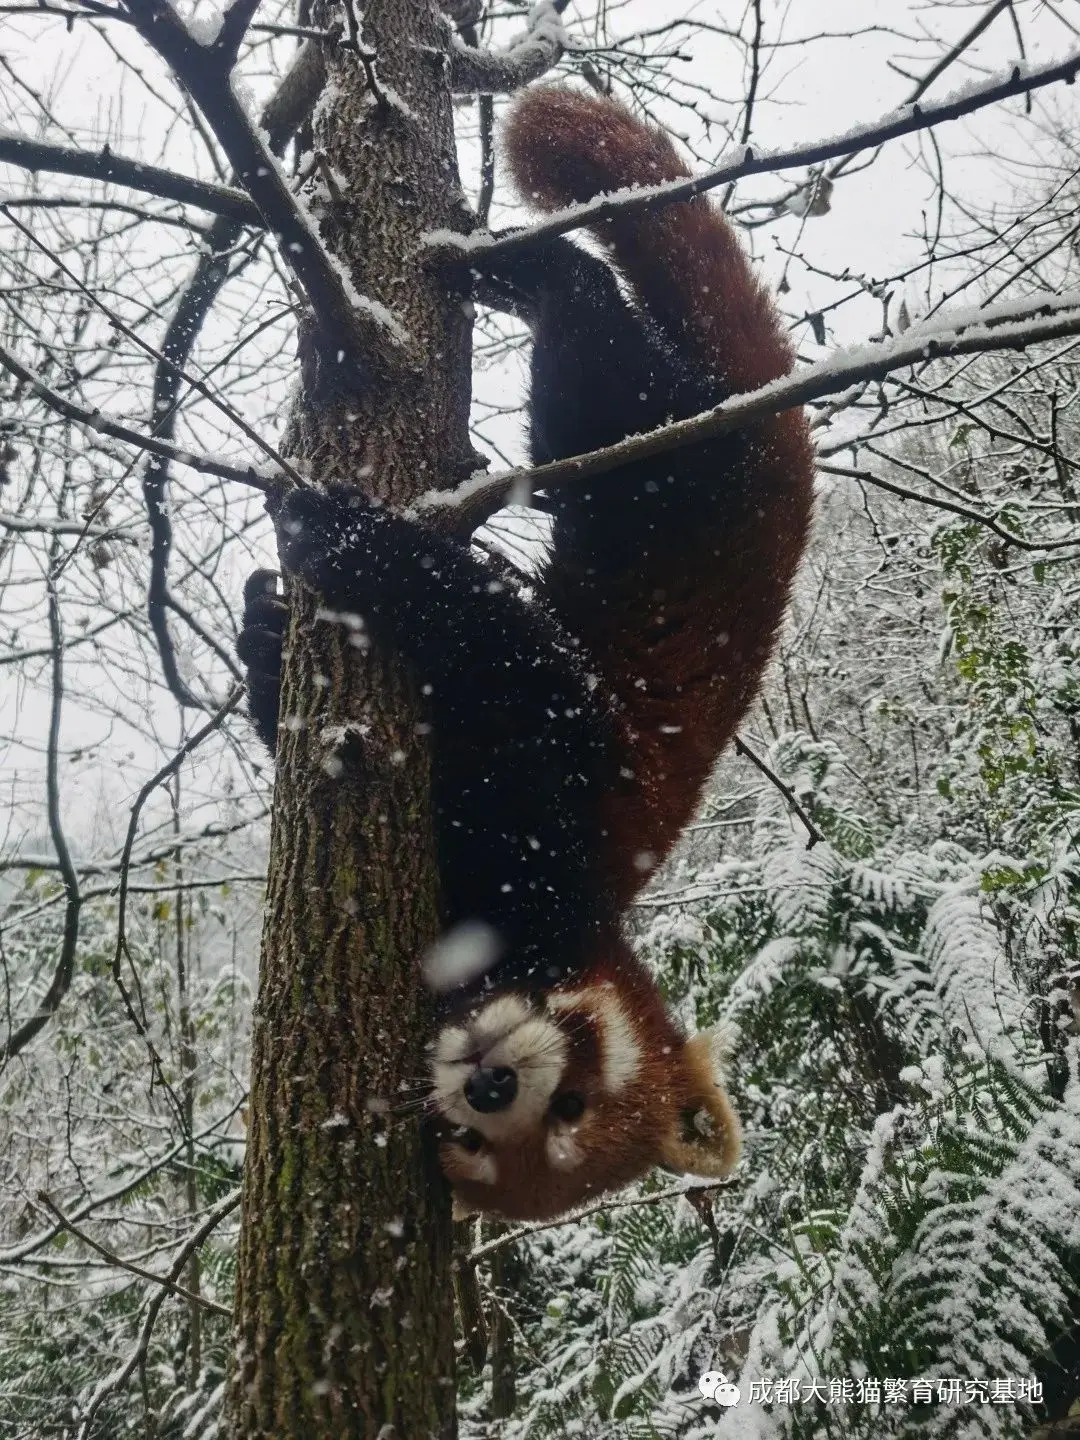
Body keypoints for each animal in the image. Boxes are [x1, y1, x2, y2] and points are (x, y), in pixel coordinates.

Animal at [236, 87, 812, 1215]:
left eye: (560, 1120)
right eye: (575, 1087)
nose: (490, 1082)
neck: (567, 913)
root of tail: (784, 448)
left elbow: (491, 654)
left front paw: (282, 615)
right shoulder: (568, 781)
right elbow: (509, 652)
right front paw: (328, 554)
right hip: (673, 478)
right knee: (600, 360)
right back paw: (532, 272)